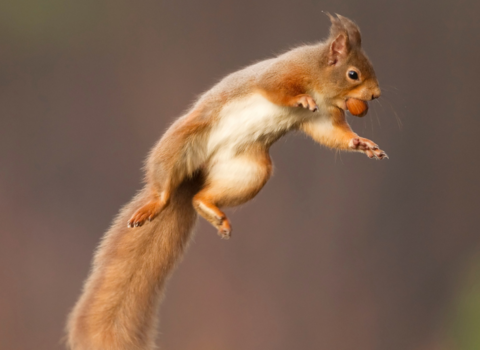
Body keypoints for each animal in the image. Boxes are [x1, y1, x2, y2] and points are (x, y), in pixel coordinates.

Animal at [66, 13, 386, 350]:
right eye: (353, 74)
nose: (376, 95)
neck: (320, 78)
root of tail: (197, 174)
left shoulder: (322, 118)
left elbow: (334, 134)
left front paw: (363, 144)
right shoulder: (282, 74)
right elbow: (276, 89)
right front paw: (300, 98)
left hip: (251, 171)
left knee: (200, 197)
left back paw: (211, 210)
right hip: (180, 143)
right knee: (163, 185)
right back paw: (155, 204)